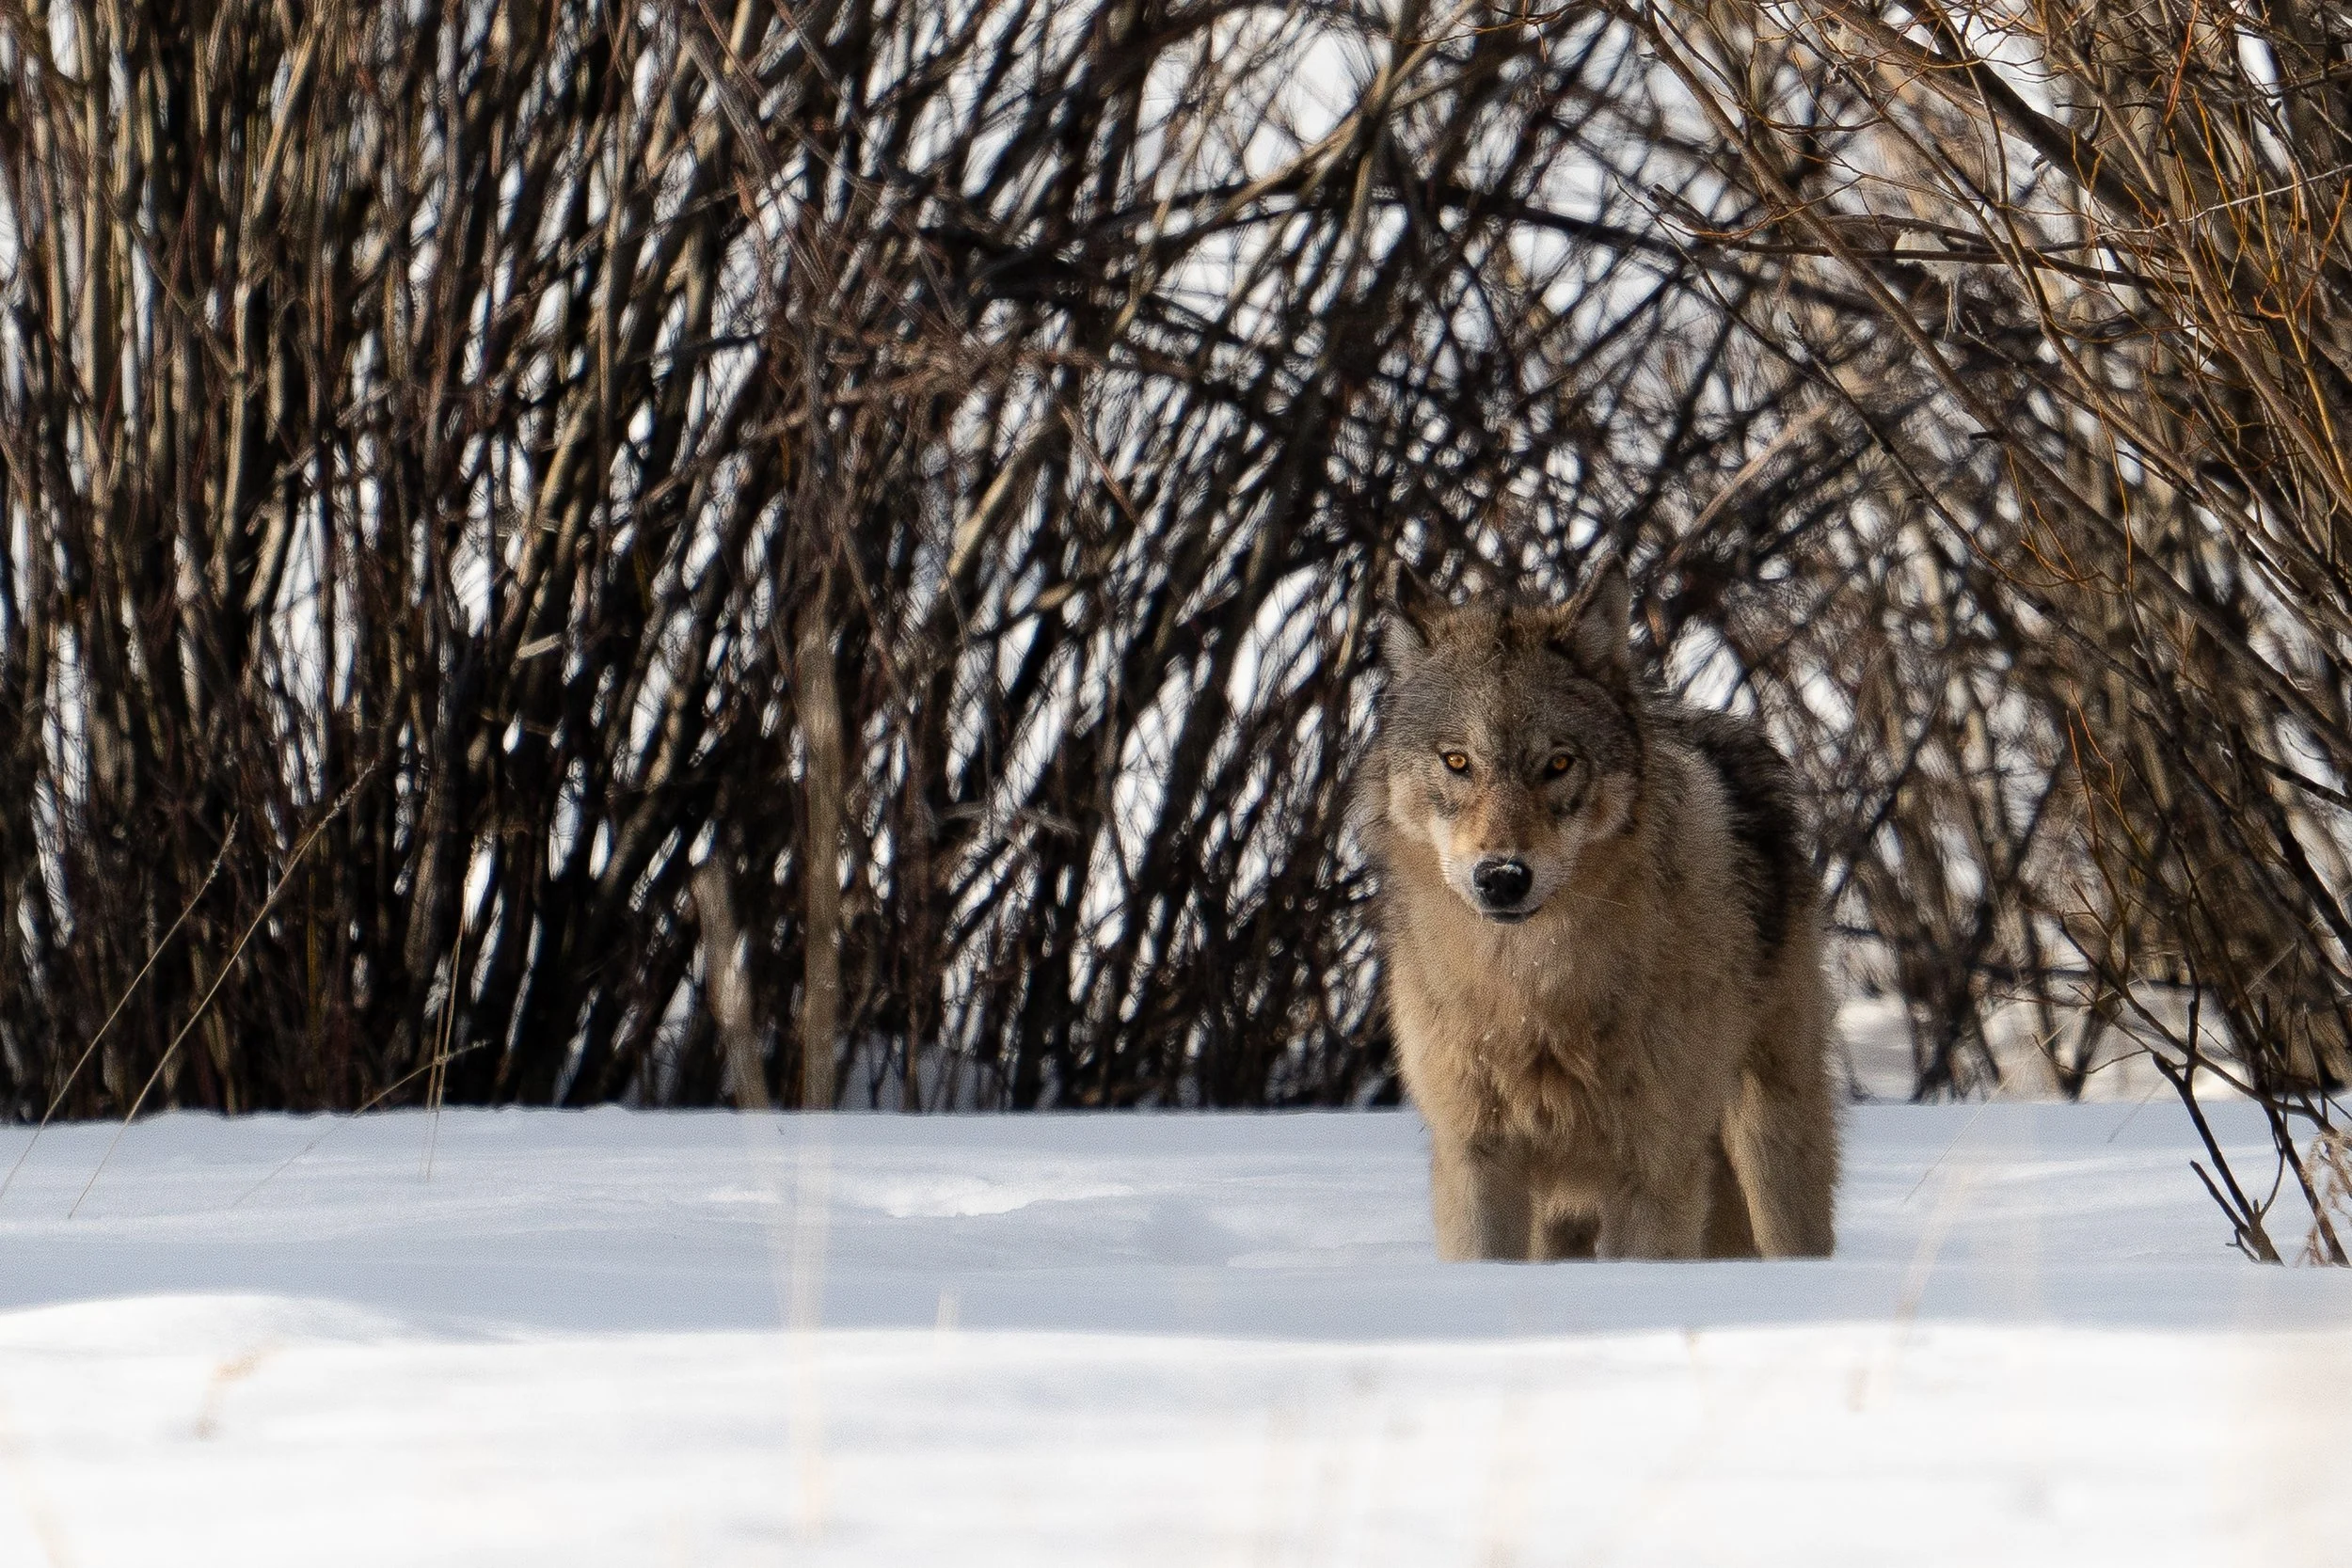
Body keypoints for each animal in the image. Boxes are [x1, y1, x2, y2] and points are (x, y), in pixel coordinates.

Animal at [1359, 558, 1838, 1260]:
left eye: (1558, 763)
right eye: (1457, 761)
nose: (1502, 878)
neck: (1531, 990)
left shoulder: (1654, 1166)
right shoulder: (1475, 1158)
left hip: (1768, 1146)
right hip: (1558, 1216)